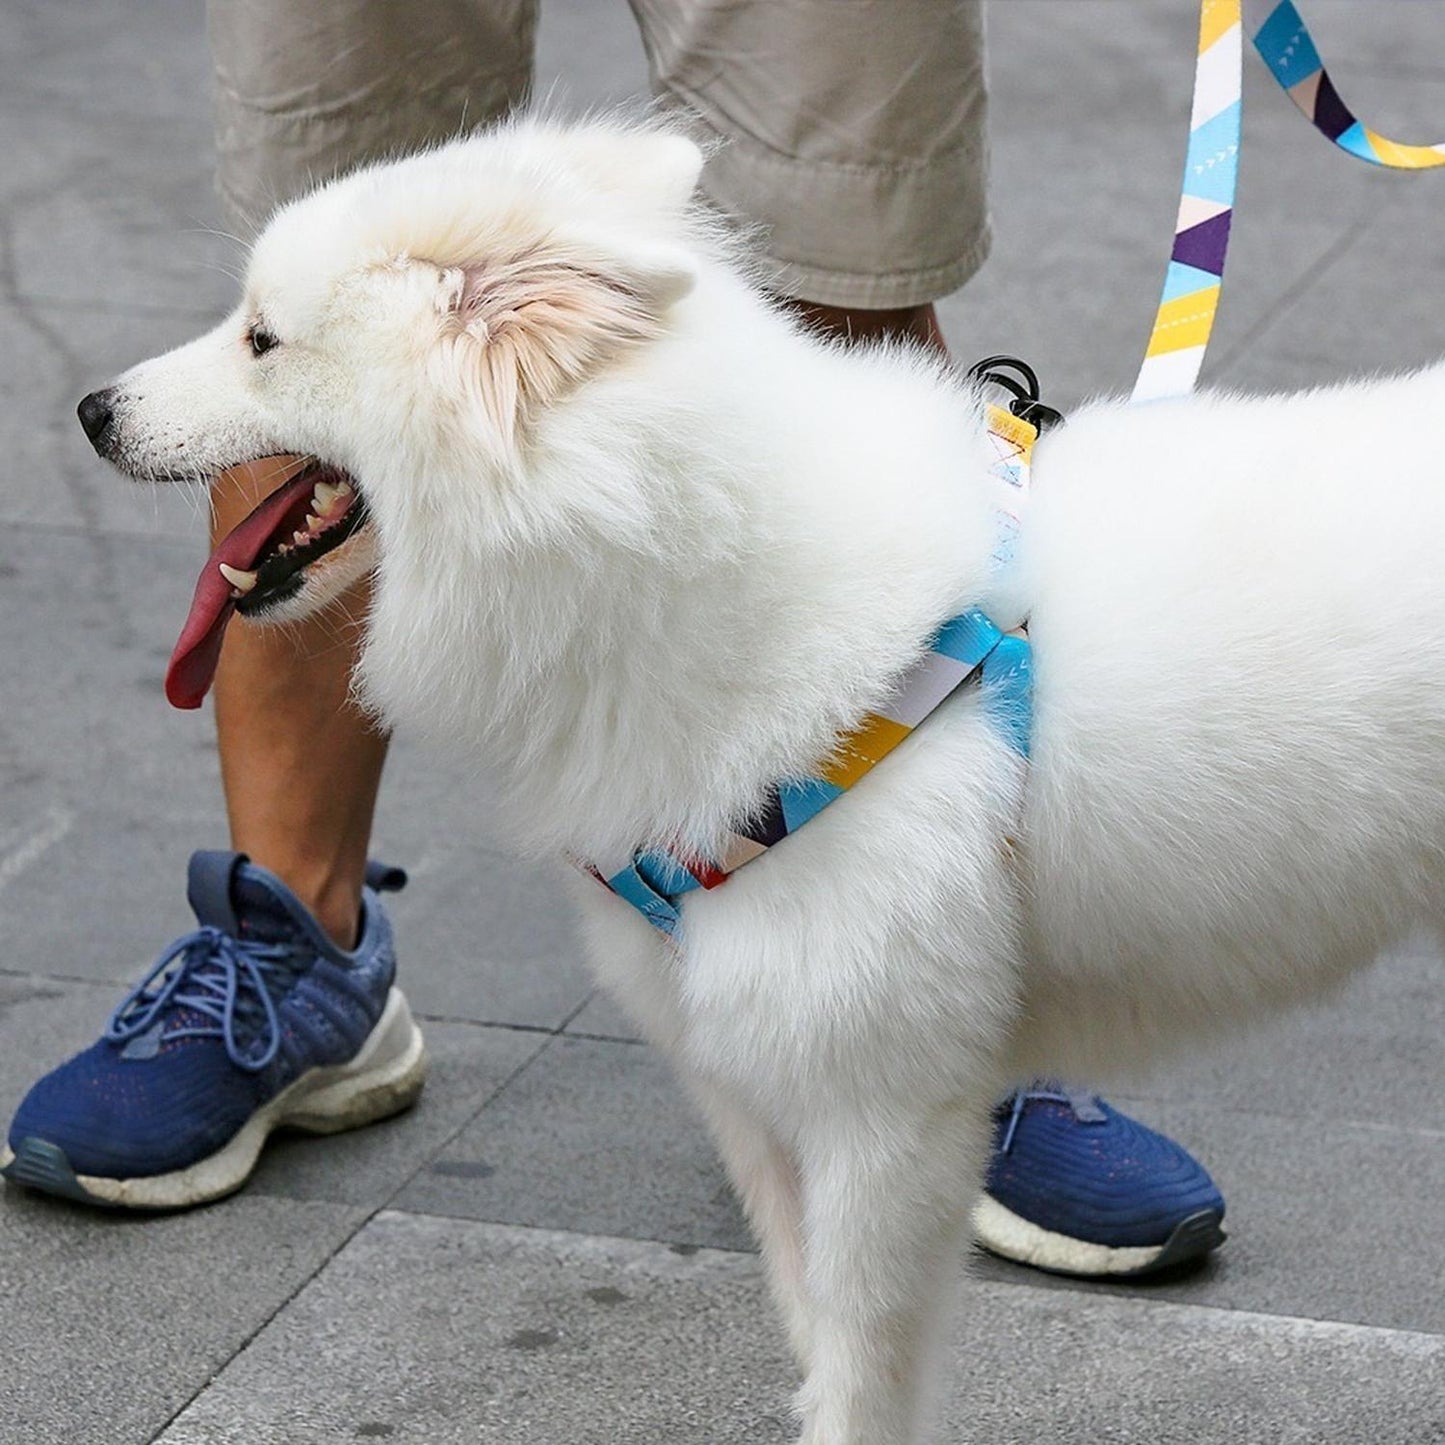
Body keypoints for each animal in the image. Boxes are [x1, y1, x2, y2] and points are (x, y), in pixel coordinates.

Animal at [82, 118, 1445, 1439]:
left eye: (261, 338)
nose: (93, 407)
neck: (681, 562)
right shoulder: (747, 1078)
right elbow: (805, 1324)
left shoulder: (879, 1111)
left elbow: (859, 1374)